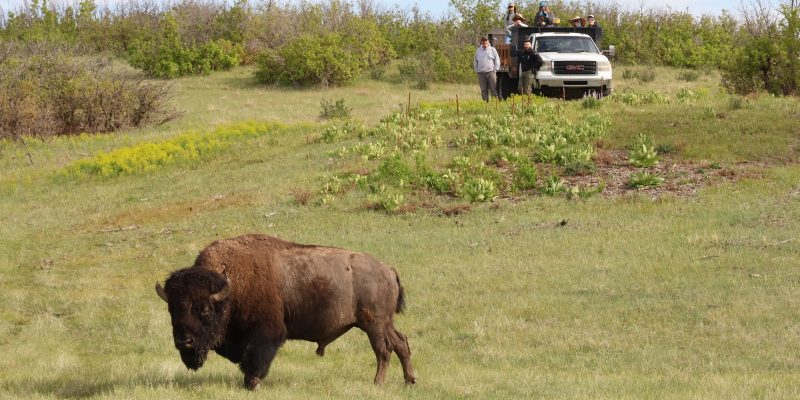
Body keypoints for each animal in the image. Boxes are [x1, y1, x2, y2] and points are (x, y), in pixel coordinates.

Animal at [155, 234, 416, 389]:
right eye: (172, 309)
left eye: (205, 310)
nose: (184, 341)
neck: (232, 287)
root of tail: (387, 269)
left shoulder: (265, 335)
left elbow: (256, 359)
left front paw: (252, 383)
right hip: (384, 323)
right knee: (401, 343)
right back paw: (409, 381)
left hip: (374, 324)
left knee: (383, 350)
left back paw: (378, 384)